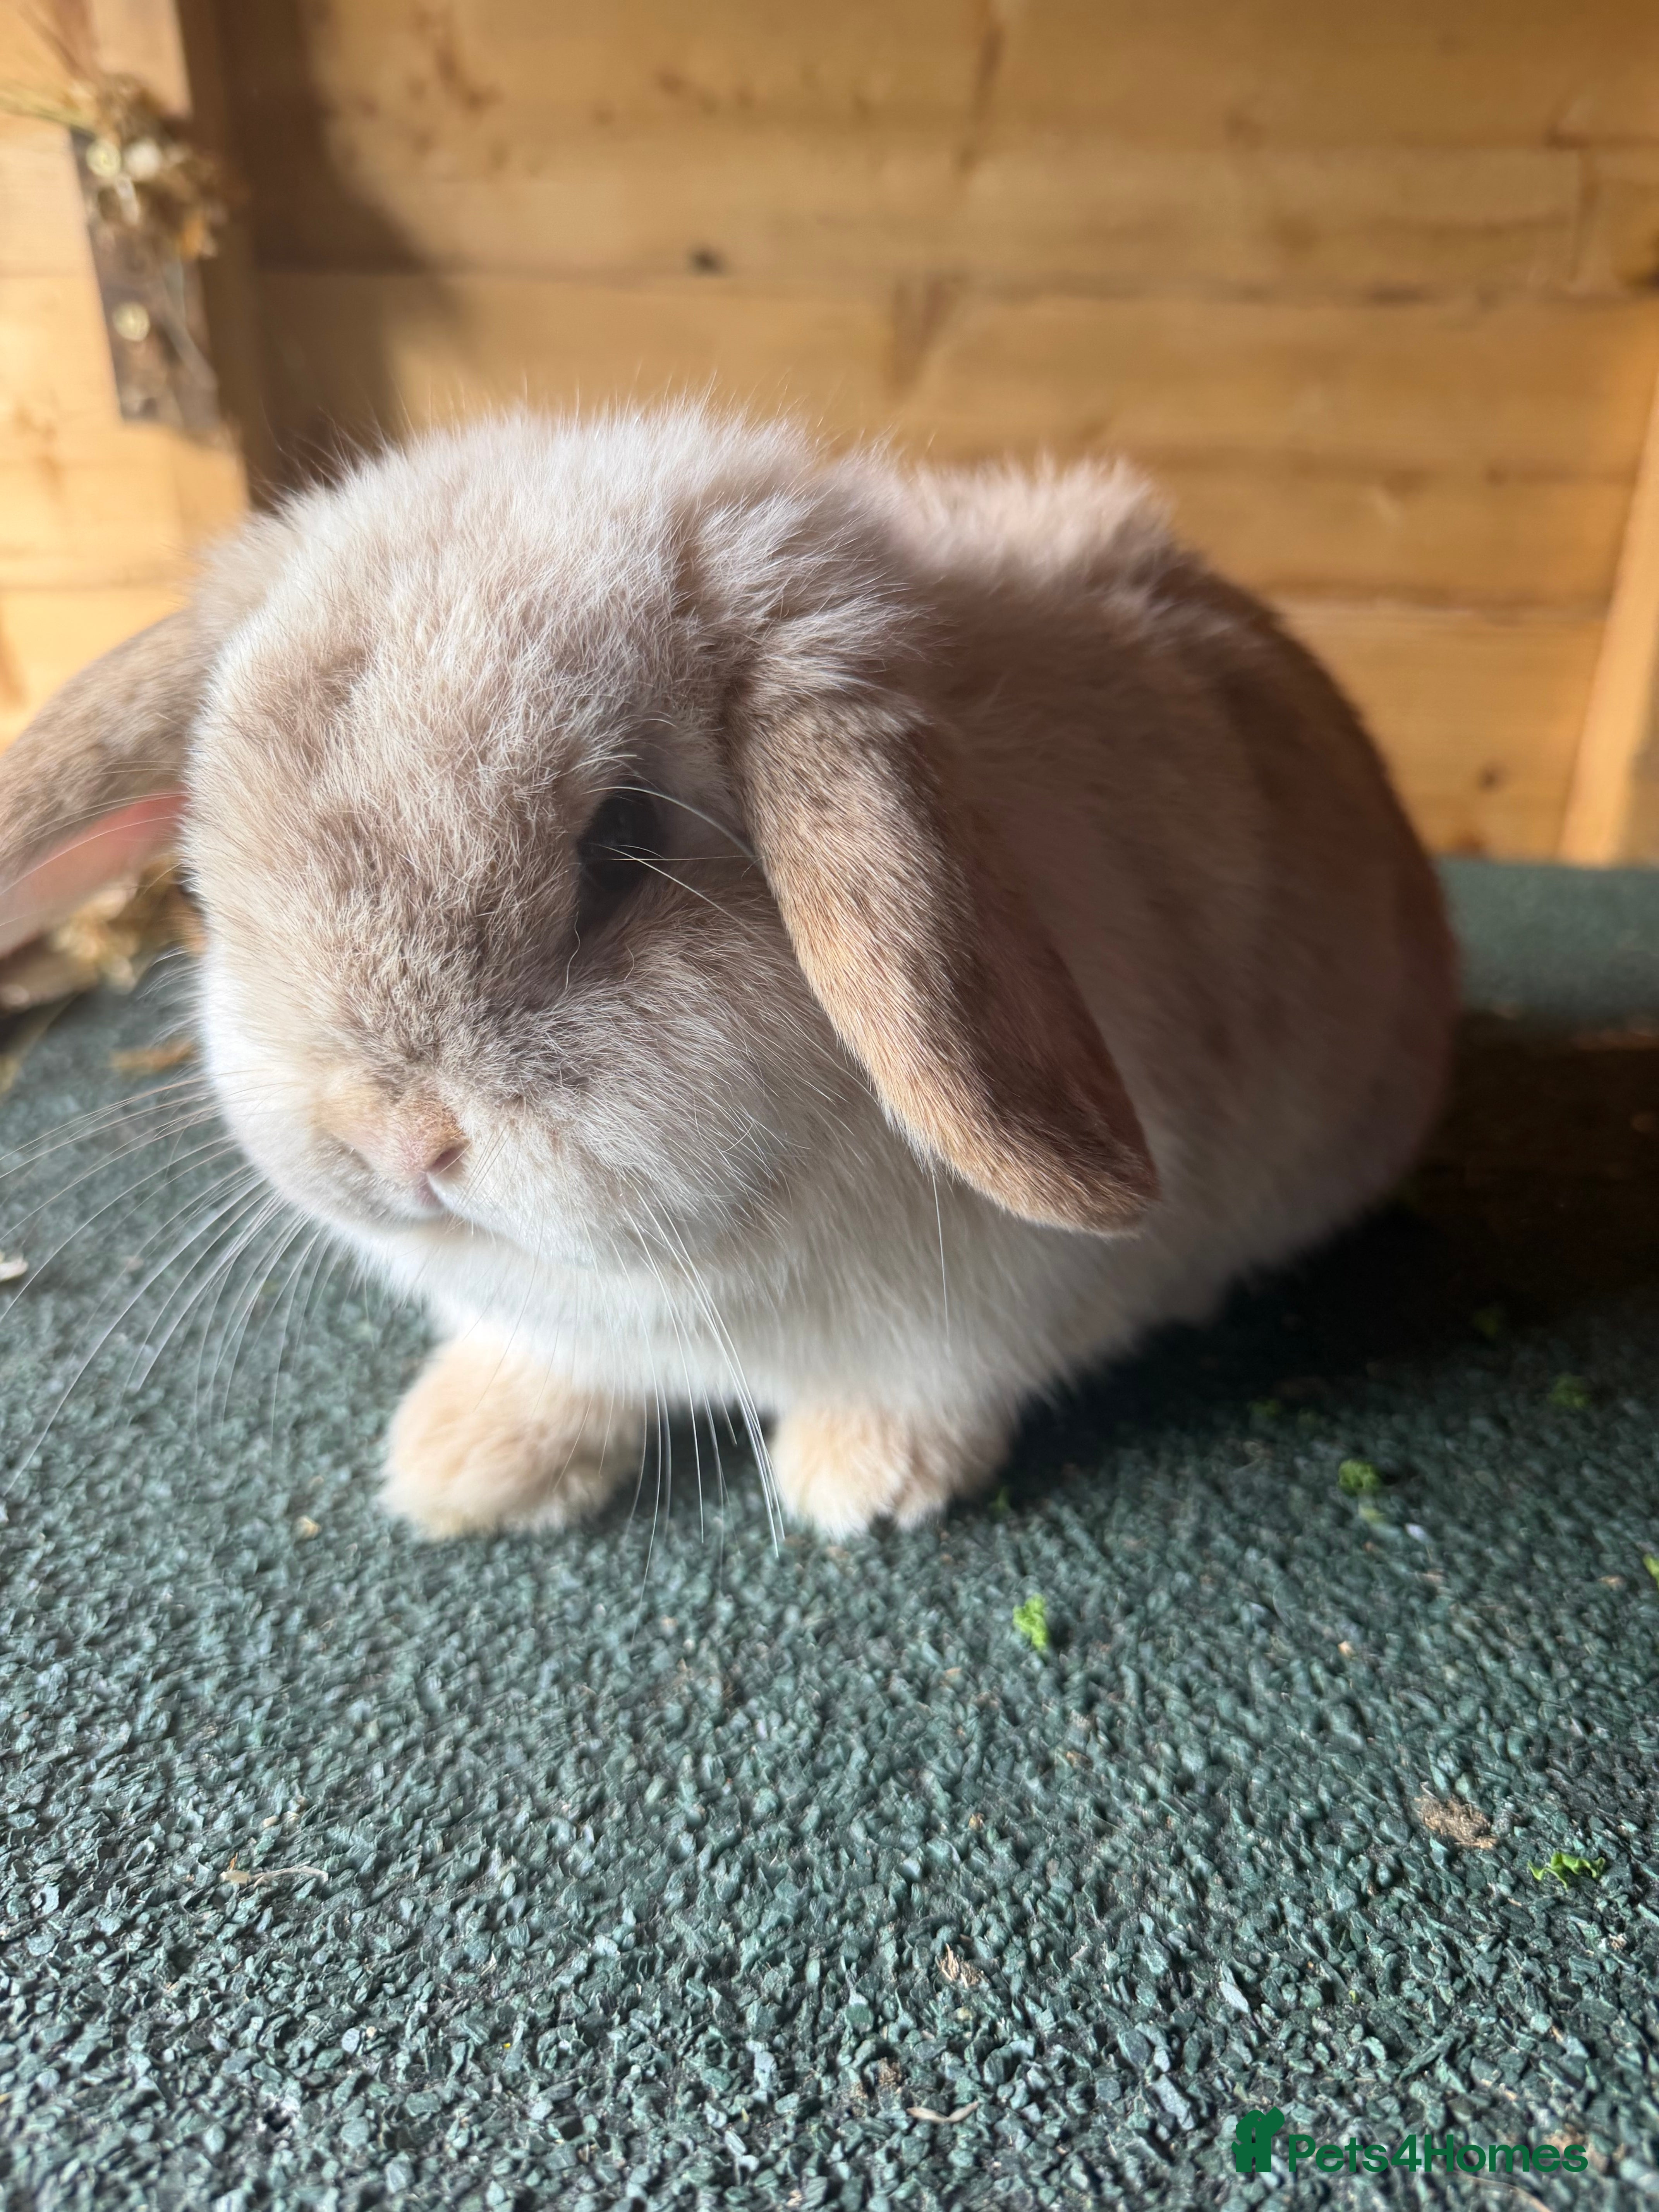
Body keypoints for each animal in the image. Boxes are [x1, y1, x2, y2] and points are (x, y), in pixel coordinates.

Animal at [0, 409, 1457, 1540]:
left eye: (623, 843)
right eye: (202, 886)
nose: (393, 1137)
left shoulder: (987, 1321)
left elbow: (940, 1382)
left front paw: (860, 1484)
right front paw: (463, 1465)